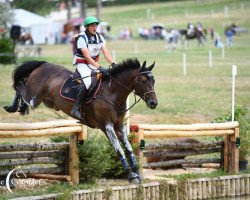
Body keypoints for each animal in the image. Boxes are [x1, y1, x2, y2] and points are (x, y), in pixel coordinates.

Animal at [3, 58, 158, 184]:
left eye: (153, 81)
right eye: (143, 80)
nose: (153, 103)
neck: (112, 92)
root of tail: (44, 64)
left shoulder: (119, 126)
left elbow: (129, 148)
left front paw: (137, 173)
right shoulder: (107, 126)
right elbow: (119, 149)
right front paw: (131, 175)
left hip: (47, 101)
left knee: (23, 87)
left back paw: (19, 107)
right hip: (34, 98)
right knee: (21, 87)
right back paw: (14, 106)